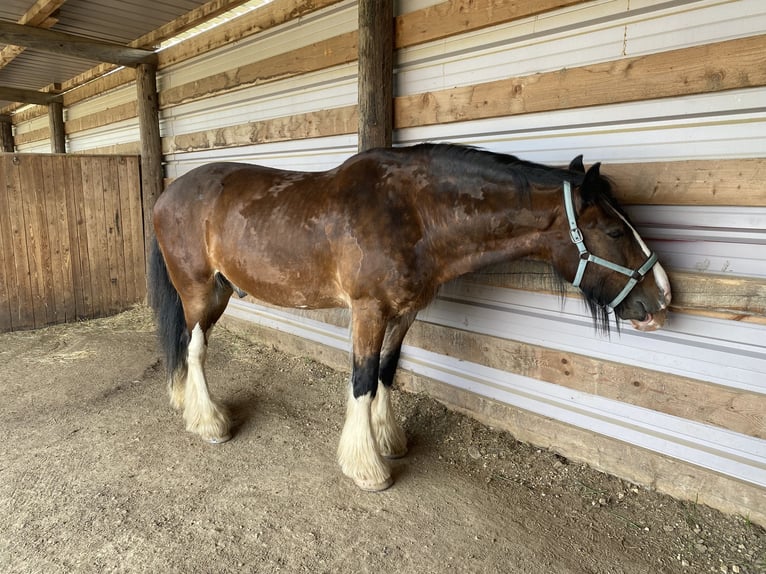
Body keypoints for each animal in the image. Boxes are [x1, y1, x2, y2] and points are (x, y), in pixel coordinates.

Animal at [148, 143, 672, 490]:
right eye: (613, 231)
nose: (662, 299)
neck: (413, 213)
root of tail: (166, 196)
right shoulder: (368, 311)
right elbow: (362, 379)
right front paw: (367, 468)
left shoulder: (403, 313)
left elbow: (386, 372)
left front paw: (389, 440)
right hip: (199, 292)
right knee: (195, 349)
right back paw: (209, 423)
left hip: (217, 292)